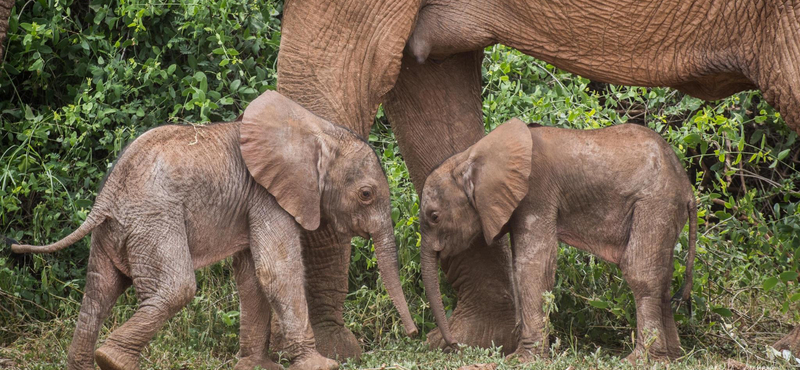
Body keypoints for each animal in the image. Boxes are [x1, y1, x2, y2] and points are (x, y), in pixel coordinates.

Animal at [10, 90, 418, 370]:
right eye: (366, 194)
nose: (414, 334)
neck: (316, 131)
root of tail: (106, 197)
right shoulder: (267, 196)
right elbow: (277, 271)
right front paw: (321, 365)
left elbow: (252, 276)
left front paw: (257, 366)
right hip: (154, 220)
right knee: (175, 287)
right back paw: (113, 360)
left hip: (118, 229)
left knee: (98, 291)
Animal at [422, 120, 696, 362]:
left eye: (434, 216)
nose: (453, 345)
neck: (470, 156)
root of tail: (687, 187)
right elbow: (519, 266)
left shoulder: (536, 193)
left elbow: (532, 267)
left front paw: (522, 359)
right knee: (664, 279)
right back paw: (671, 357)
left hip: (655, 202)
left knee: (641, 273)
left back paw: (640, 360)